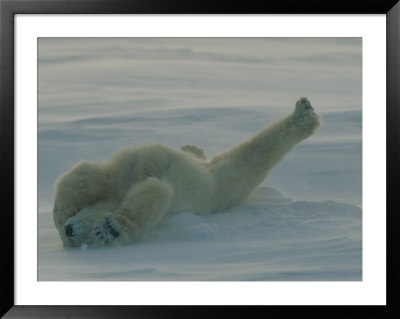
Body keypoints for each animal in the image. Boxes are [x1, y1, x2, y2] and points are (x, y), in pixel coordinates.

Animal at [54, 96, 322, 249]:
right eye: (72, 240)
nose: (69, 231)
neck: (116, 197)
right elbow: (152, 190)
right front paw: (98, 225)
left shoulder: (128, 170)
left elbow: (92, 173)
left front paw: (98, 224)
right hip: (228, 183)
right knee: (253, 157)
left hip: (221, 181)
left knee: (254, 153)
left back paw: (304, 112)